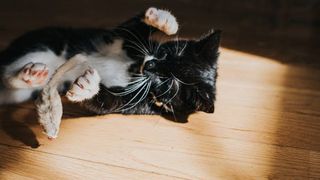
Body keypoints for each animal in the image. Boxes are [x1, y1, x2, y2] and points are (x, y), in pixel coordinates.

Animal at [0, 7, 220, 124]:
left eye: (167, 82)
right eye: (165, 54)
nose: (149, 65)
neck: (133, 70)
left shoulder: (134, 105)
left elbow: (103, 103)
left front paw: (86, 86)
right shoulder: (118, 38)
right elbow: (129, 27)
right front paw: (164, 21)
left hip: (24, 91)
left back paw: (31, 76)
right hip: (45, 43)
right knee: (6, 72)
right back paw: (31, 72)